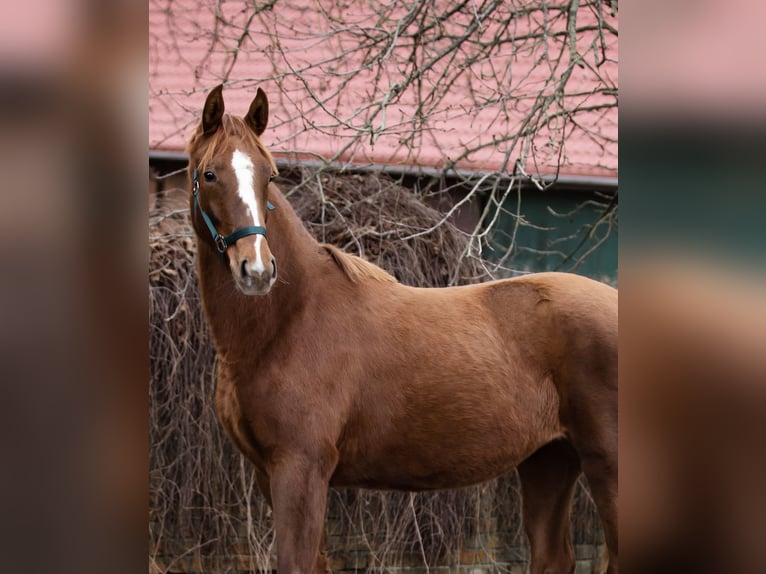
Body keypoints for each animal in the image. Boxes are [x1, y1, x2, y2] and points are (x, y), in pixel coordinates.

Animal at [189, 85, 620, 574]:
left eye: (269, 176)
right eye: (209, 175)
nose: (257, 270)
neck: (289, 320)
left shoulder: (300, 468)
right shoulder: (271, 473)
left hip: (607, 465)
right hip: (548, 461)